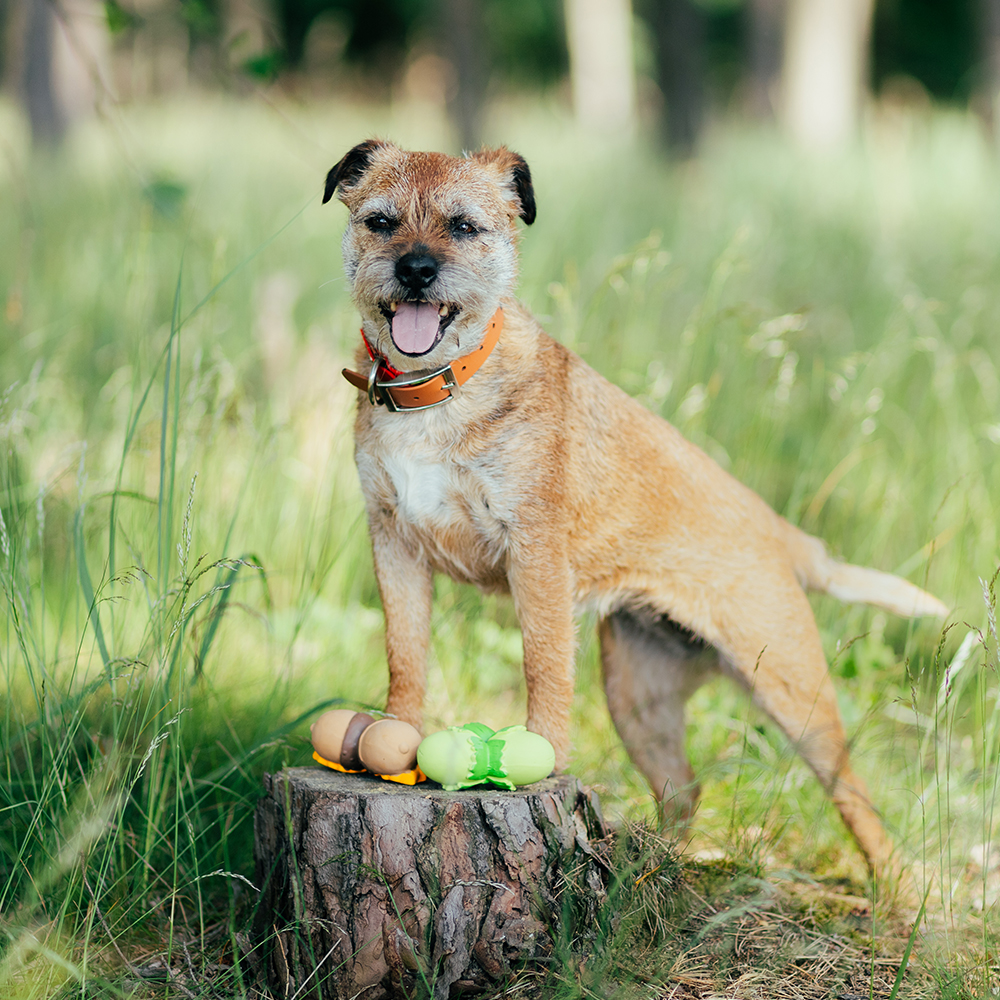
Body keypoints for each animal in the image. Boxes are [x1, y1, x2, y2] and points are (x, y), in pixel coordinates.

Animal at [324, 137, 948, 872]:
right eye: (382, 223)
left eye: (465, 228)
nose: (416, 270)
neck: (439, 391)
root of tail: (780, 532)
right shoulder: (394, 544)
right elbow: (405, 654)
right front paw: (397, 735)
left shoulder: (534, 553)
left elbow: (543, 663)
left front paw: (541, 754)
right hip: (636, 700)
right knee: (684, 788)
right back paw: (654, 859)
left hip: (797, 699)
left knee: (858, 802)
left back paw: (894, 892)